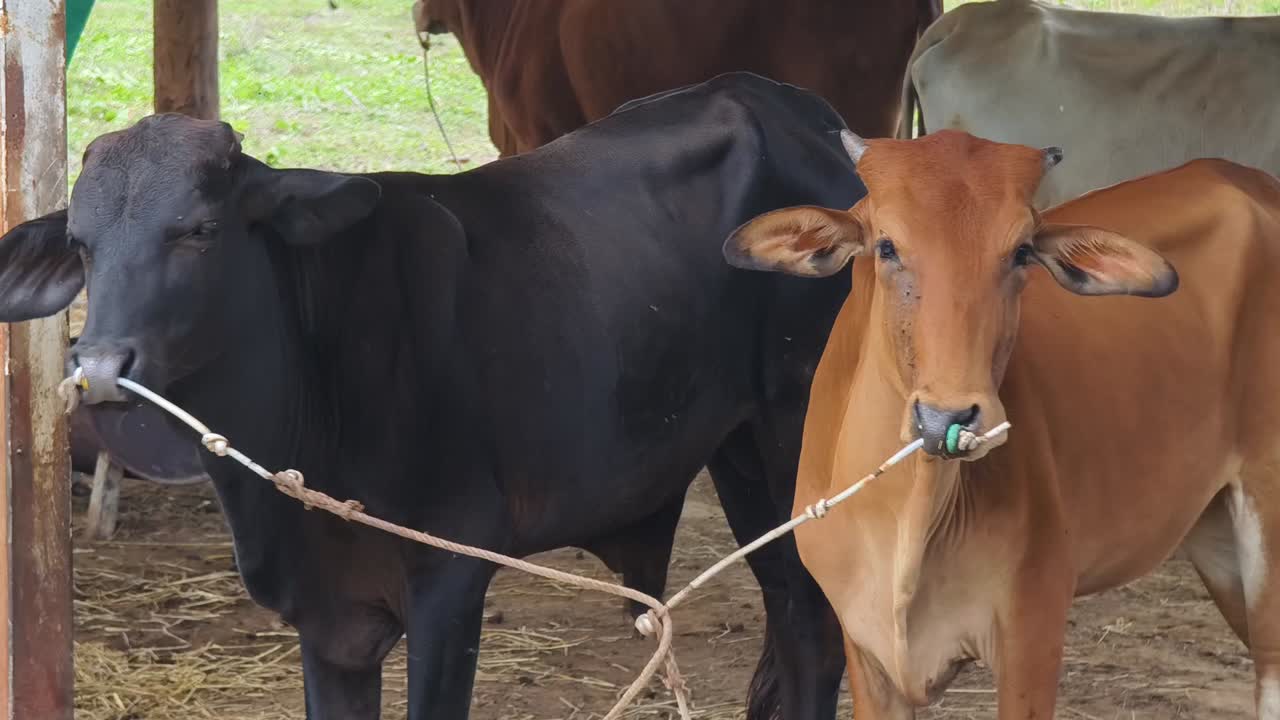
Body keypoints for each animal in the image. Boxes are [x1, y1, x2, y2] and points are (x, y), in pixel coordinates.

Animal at [0, 73, 861, 720]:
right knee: (790, 613)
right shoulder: (330, 623)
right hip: (739, 452)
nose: (101, 364)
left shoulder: (449, 579)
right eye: (81, 243)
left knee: (818, 629)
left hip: (793, 436)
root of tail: (783, 104)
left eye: (199, 230)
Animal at [721, 128, 1280, 718]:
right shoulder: (865, 649)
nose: (947, 416)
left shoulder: (1031, 629)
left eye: (1021, 251)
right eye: (887, 245)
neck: (907, 519)